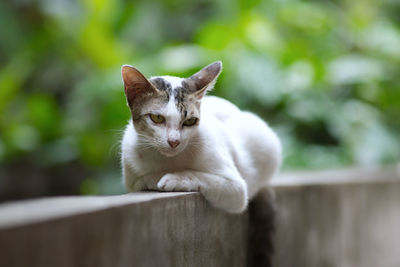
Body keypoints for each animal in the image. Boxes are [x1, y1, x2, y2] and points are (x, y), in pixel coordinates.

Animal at [120, 60, 280, 214]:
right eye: (157, 118)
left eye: (190, 121)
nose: (174, 141)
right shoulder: (130, 171)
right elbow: (140, 181)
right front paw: (154, 178)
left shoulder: (236, 188)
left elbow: (203, 177)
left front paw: (173, 178)